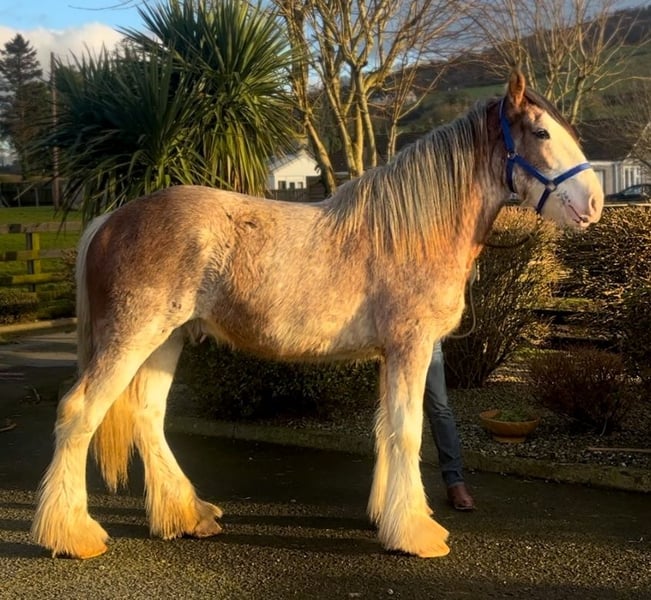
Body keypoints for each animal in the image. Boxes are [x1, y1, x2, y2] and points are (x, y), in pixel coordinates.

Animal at [32, 71, 603, 559]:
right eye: (541, 131)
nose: (594, 203)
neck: (411, 229)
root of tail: (110, 219)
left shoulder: (392, 355)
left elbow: (385, 430)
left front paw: (388, 517)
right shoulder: (411, 348)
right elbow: (407, 432)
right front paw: (415, 533)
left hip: (167, 339)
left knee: (148, 415)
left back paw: (186, 515)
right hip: (133, 337)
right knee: (79, 412)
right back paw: (73, 534)